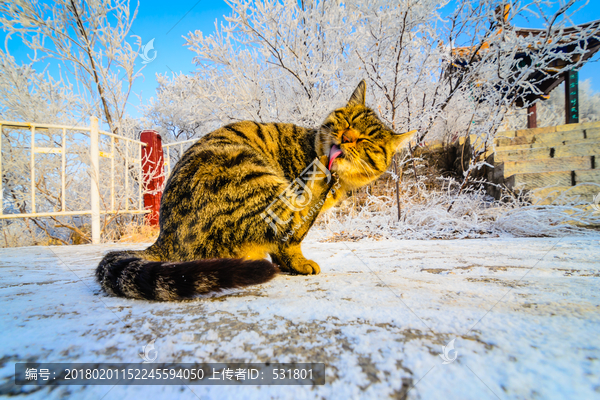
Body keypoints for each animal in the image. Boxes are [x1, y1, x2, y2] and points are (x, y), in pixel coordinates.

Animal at [97, 80, 418, 300]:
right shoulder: (296, 210)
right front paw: (297, 263)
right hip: (252, 174)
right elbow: (291, 240)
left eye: (365, 140)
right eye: (348, 121)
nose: (348, 137)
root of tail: (165, 238)